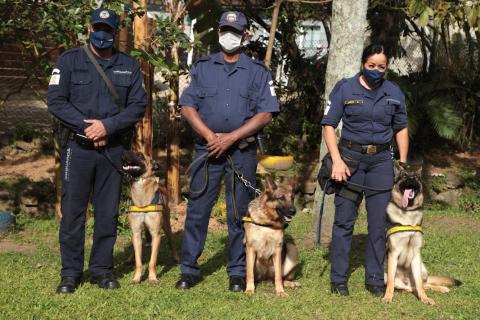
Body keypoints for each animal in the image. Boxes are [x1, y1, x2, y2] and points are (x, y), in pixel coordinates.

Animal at [122, 151, 178, 284]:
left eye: (140, 155)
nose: (123, 153)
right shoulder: (136, 232)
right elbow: (138, 262)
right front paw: (136, 278)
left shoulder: (156, 234)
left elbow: (152, 262)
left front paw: (152, 278)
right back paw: (129, 258)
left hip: (166, 225)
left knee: (171, 240)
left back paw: (176, 257)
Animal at [382, 162, 462, 304]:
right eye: (404, 176)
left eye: (415, 177)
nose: (411, 179)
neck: (408, 212)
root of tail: (406, 282)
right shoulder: (393, 253)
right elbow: (391, 282)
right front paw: (387, 297)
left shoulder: (416, 254)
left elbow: (419, 284)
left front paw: (425, 298)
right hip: (386, 275)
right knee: (408, 288)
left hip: (422, 267)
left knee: (423, 284)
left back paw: (441, 288)